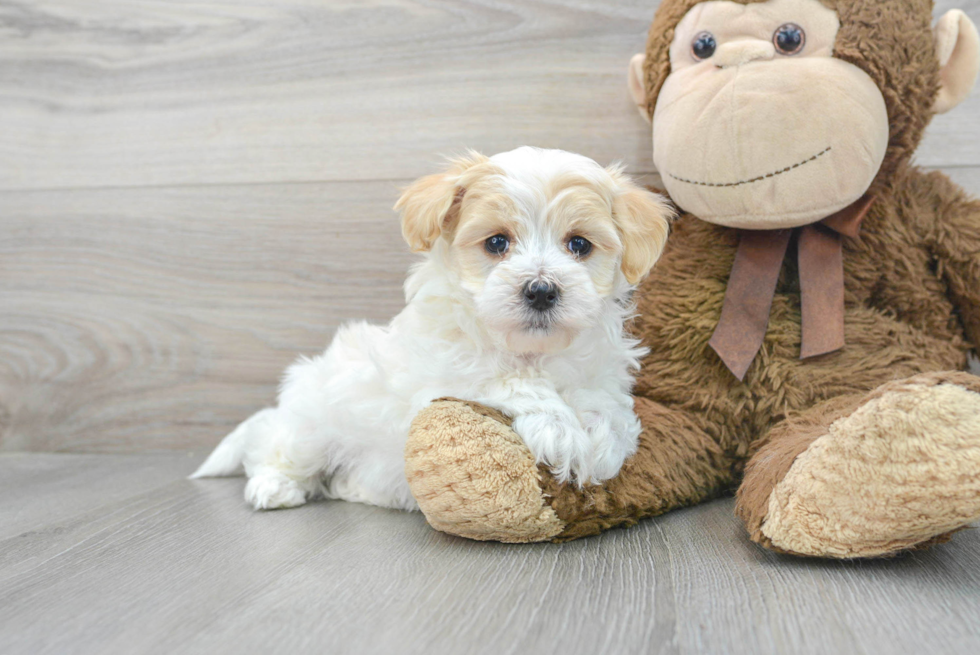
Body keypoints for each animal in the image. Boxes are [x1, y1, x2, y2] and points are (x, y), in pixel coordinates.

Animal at [189, 149, 672, 512]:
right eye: (497, 242)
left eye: (579, 245)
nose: (540, 290)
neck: (531, 350)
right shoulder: (443, 375)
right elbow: (506, 379)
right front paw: (561, 433)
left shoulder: (600, 371)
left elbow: (606, 404)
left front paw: (603, 443)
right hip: (311, 420)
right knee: (275, 451)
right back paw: (275, 487)